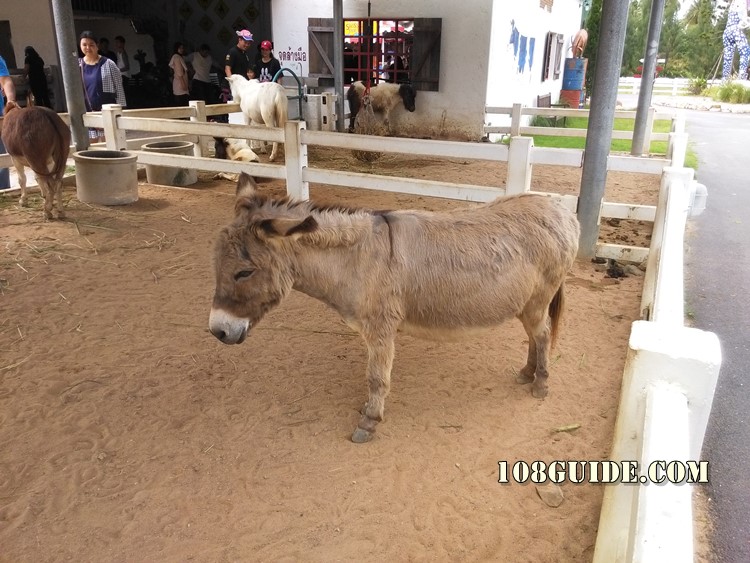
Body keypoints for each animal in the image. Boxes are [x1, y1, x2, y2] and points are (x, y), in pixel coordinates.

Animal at [207, 174, 580, 442]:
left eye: (244, 272)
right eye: (216, 265)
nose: (217, 330)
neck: (357, 259)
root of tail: (561, 209)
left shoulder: (381, 328)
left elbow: (376, 377)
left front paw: (369, 422)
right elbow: (376, 376)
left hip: (538, 299)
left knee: (543, 335)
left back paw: (540, 384)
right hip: (527, 303)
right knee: (536, 336)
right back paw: (527, 373)